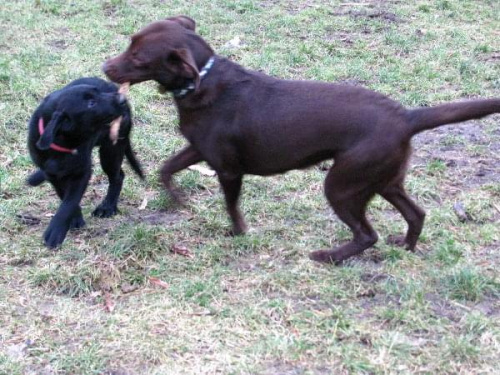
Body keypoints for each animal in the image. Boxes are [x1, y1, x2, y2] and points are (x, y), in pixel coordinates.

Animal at [27, 78, 144, 250]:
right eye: (91, 103)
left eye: (98, 92)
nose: (122, 99)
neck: (62, 143)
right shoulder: (53, 176)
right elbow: (66, 197)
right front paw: (75, 220)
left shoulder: (82, 173)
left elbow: (69, 202)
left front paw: (55, 233)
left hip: (111, 149)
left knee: (118, 177)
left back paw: (107, 207)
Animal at [102, 15, 500, 264]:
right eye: (130, 42)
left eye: (138, 57)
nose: (106, 66)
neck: (202, 79)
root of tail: (406, 116)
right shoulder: (199, 148)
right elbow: (166, 169)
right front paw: (178, 199)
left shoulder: (228, 169)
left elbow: (231, 206)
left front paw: (238, 233)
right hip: (383, 179)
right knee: (416, 213)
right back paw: (405, 246)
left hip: (342, 184)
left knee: (366, 234)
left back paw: (329, 258)